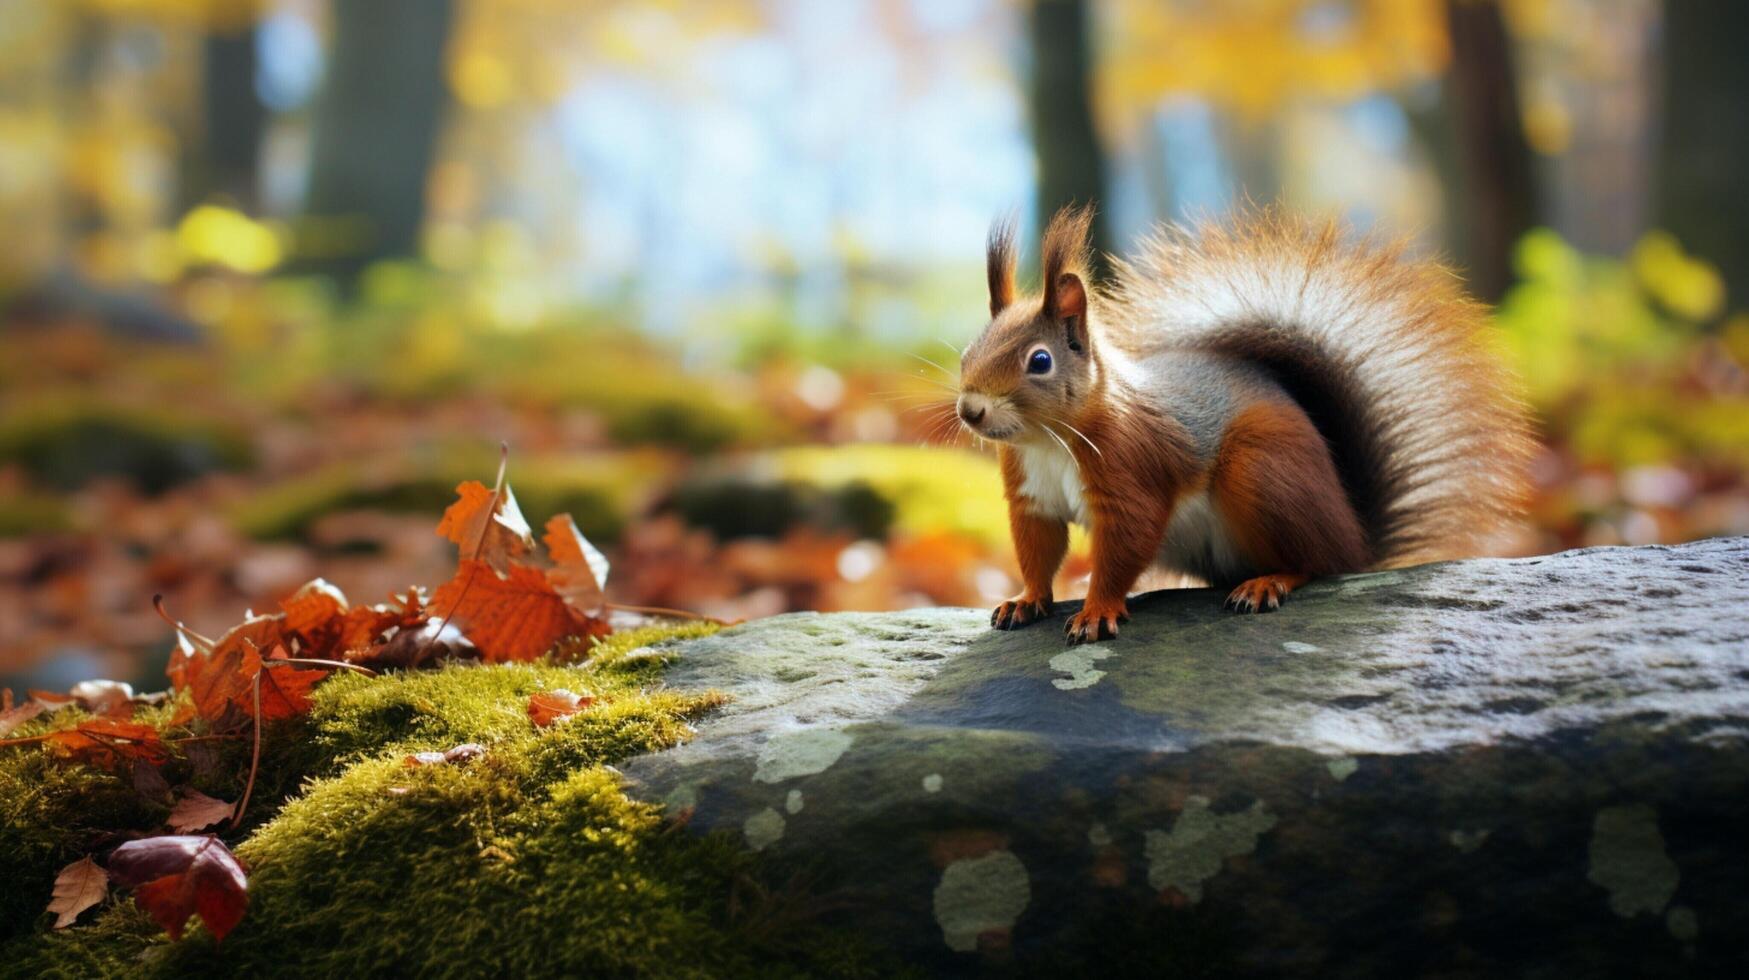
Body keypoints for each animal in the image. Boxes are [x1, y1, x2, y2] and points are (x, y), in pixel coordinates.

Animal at [958, 208, 1532, 644]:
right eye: (969, 350)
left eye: (1040, 361)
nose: (970, 410)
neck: (1050, 441)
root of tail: (1358, 541)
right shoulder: (1030, 495)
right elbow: (1037, 547)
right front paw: (1026, 599)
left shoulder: (1132, 470)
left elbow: (1124, 547)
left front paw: (1097, 609)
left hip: (1260, 470)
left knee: (1318, 562)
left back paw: (1269, 582)